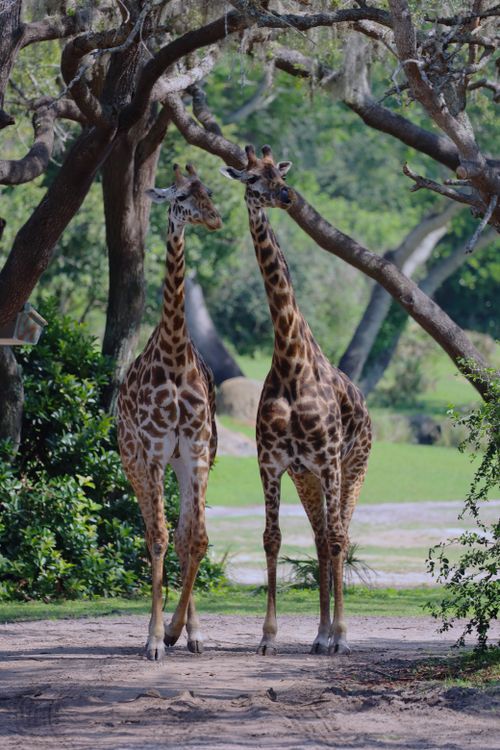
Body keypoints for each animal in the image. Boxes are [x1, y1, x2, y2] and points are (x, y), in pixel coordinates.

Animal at [221, 145, 372, 656]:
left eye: (278, 172)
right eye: (251, 178)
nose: (286, 195)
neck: (290, 361)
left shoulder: (327, 460)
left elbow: (339, 539)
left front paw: (343, 636)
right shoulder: (272, 462)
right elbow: (272, 538)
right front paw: (268, 637)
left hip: (352, 467)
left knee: (339, 534)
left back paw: (334, 635)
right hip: (306, 478)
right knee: (320, 535)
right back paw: (318, 634)